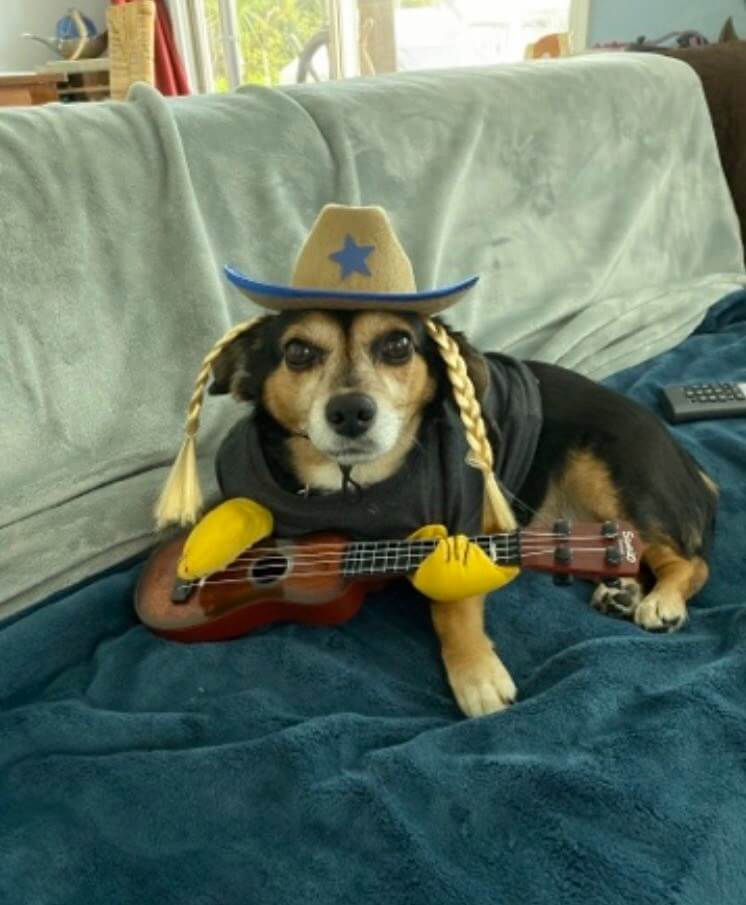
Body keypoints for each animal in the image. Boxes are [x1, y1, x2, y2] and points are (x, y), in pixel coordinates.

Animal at [205, 308, 716, 716]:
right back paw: (622, 591)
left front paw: (477, 677)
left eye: (398, 346)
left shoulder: (460, 536)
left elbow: (451, 611)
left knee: (691, 563)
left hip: (610, 477)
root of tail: (690, 464)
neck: (354, 486)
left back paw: (661, 601)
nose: (351, 411)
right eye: (298, 352)